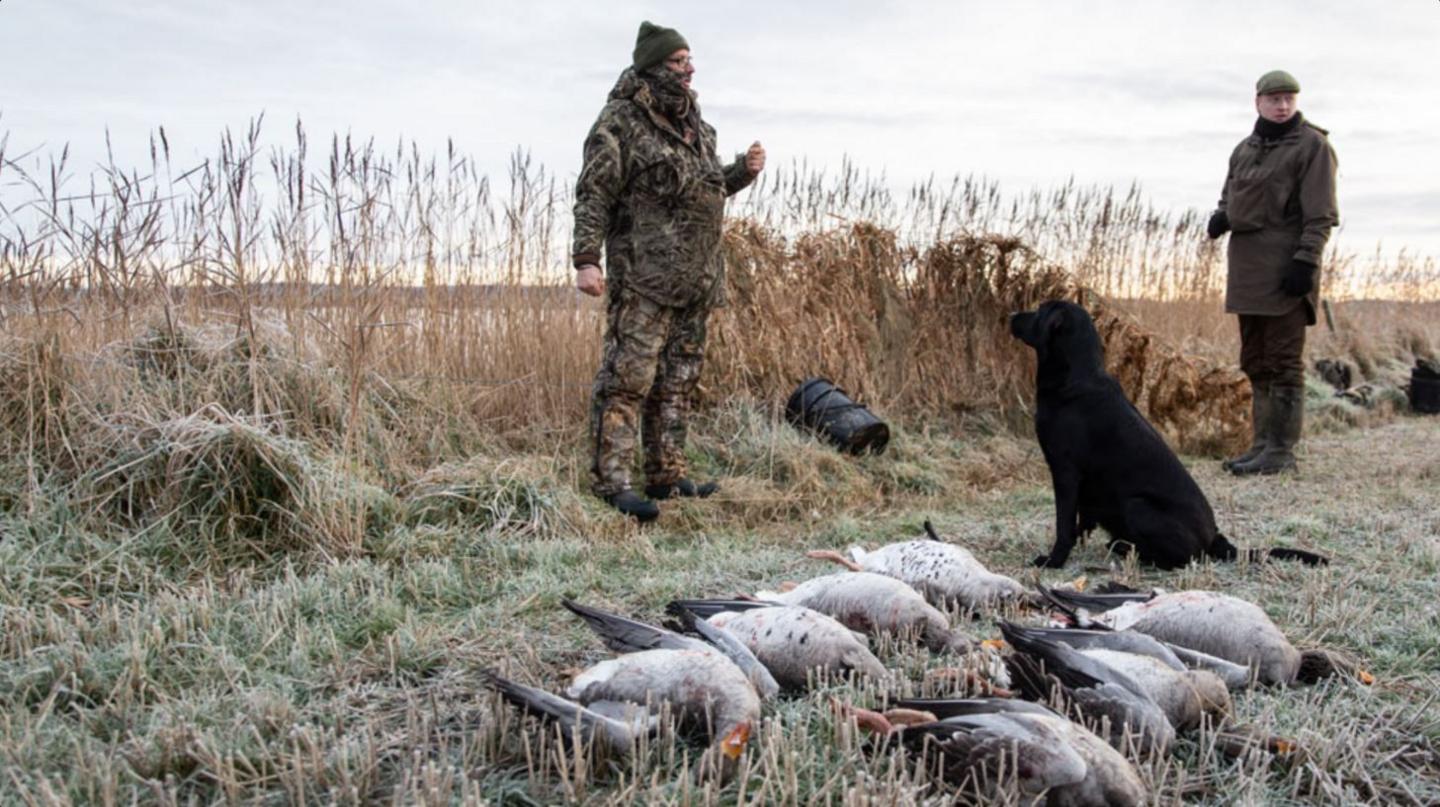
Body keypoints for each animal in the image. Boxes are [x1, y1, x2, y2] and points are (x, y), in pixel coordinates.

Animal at [1008, 299, 1319, 570]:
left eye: (1039, 311)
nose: (1011, 315)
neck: (1076, 378)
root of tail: (1216, 539)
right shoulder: (1084, 485)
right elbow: (1081, 521)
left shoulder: (1066, 471)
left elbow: (1063, 525)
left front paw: (1053, 560)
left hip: (1138, 506)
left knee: (1183, 559)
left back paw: (1131, 552)